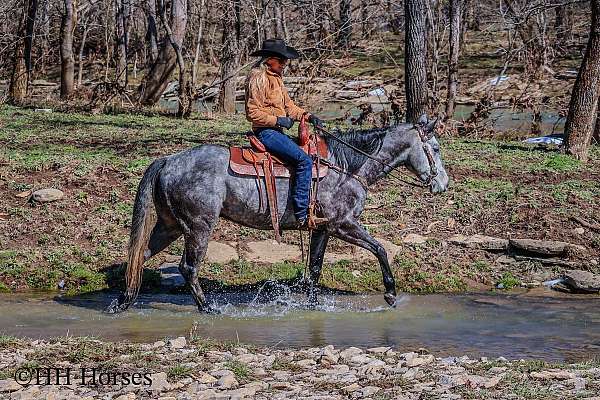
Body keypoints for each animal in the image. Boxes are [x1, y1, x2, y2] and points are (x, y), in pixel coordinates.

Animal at [106, 117, 446, 314]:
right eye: (436, 148)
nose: (442, 184)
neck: (347, 167)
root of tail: (168, 160)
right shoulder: (343, 225)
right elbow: (380, 249)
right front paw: (390, 293)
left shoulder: (322, 229)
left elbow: (315, 268)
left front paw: (313, 304)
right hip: (198, 226)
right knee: (188, 267)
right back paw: (208, 308)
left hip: (170, 226)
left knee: (138, 257)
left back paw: (124, 301)